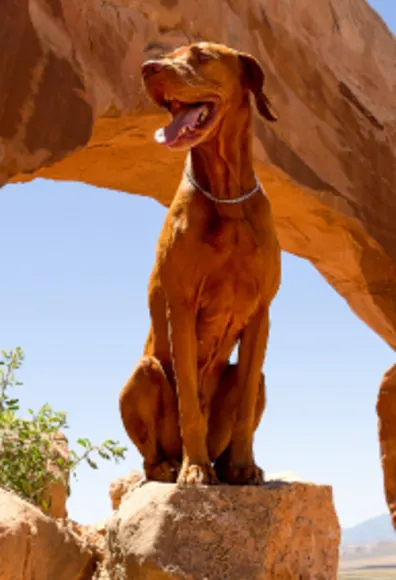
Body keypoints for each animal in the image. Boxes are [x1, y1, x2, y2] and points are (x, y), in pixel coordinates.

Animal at [119, 42, 280, 484]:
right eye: (170, 54)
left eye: (201, 55)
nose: (148, 68)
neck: (226, 196)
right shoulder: (182, 306)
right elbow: (189, 400)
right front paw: (194, 470)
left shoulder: (261, 314)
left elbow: (244, 404)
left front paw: (243, 465)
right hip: (143, 375)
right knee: (151, 452)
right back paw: (171, 465)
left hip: (252, 380)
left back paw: (226, 465)